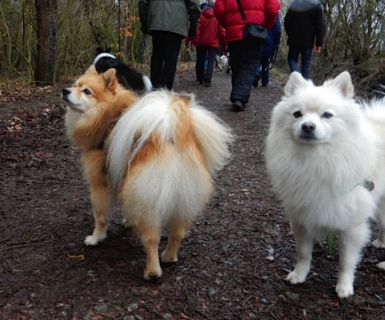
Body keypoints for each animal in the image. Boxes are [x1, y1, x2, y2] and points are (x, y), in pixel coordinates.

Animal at [61, 65, 232, 280]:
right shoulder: (124, 178)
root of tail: (171, 134)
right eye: (75, 85)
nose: (65, 90)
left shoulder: (100, 183)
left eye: (86, 91)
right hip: (184, 198)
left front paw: (95, 238)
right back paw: (169, 257)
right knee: (177, 233)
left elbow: (100, 215)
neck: (107, 113)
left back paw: (152, 271)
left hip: (150, 201)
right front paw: (128, 221)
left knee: (152, 240)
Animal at [266, 71, 384, 298]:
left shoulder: (351, 226)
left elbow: (346, 261)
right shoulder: (301, 217)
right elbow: (304, 253)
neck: (316, 159)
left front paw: (344, 287)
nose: (308, 126)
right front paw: (299, 274)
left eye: (327, 115)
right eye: (297, 114)